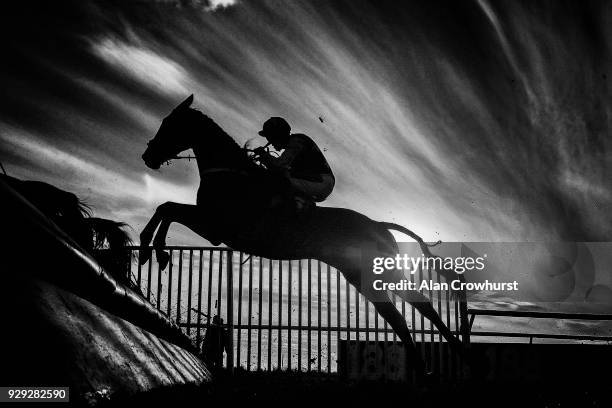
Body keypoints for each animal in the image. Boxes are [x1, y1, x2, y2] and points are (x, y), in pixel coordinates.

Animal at [139, 94, 466, 378]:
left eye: (169, 123)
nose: (147, 155)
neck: (230, 173)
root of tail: (378, 224)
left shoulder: (215, 227)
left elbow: (168, 208)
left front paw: (154, 251)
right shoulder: (212, 225)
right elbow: (166, 208)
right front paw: (152, 251)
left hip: (374, 274)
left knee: (412, 311)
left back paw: (446, 358)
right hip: (368, 275)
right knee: (411, 312)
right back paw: (434, 363)